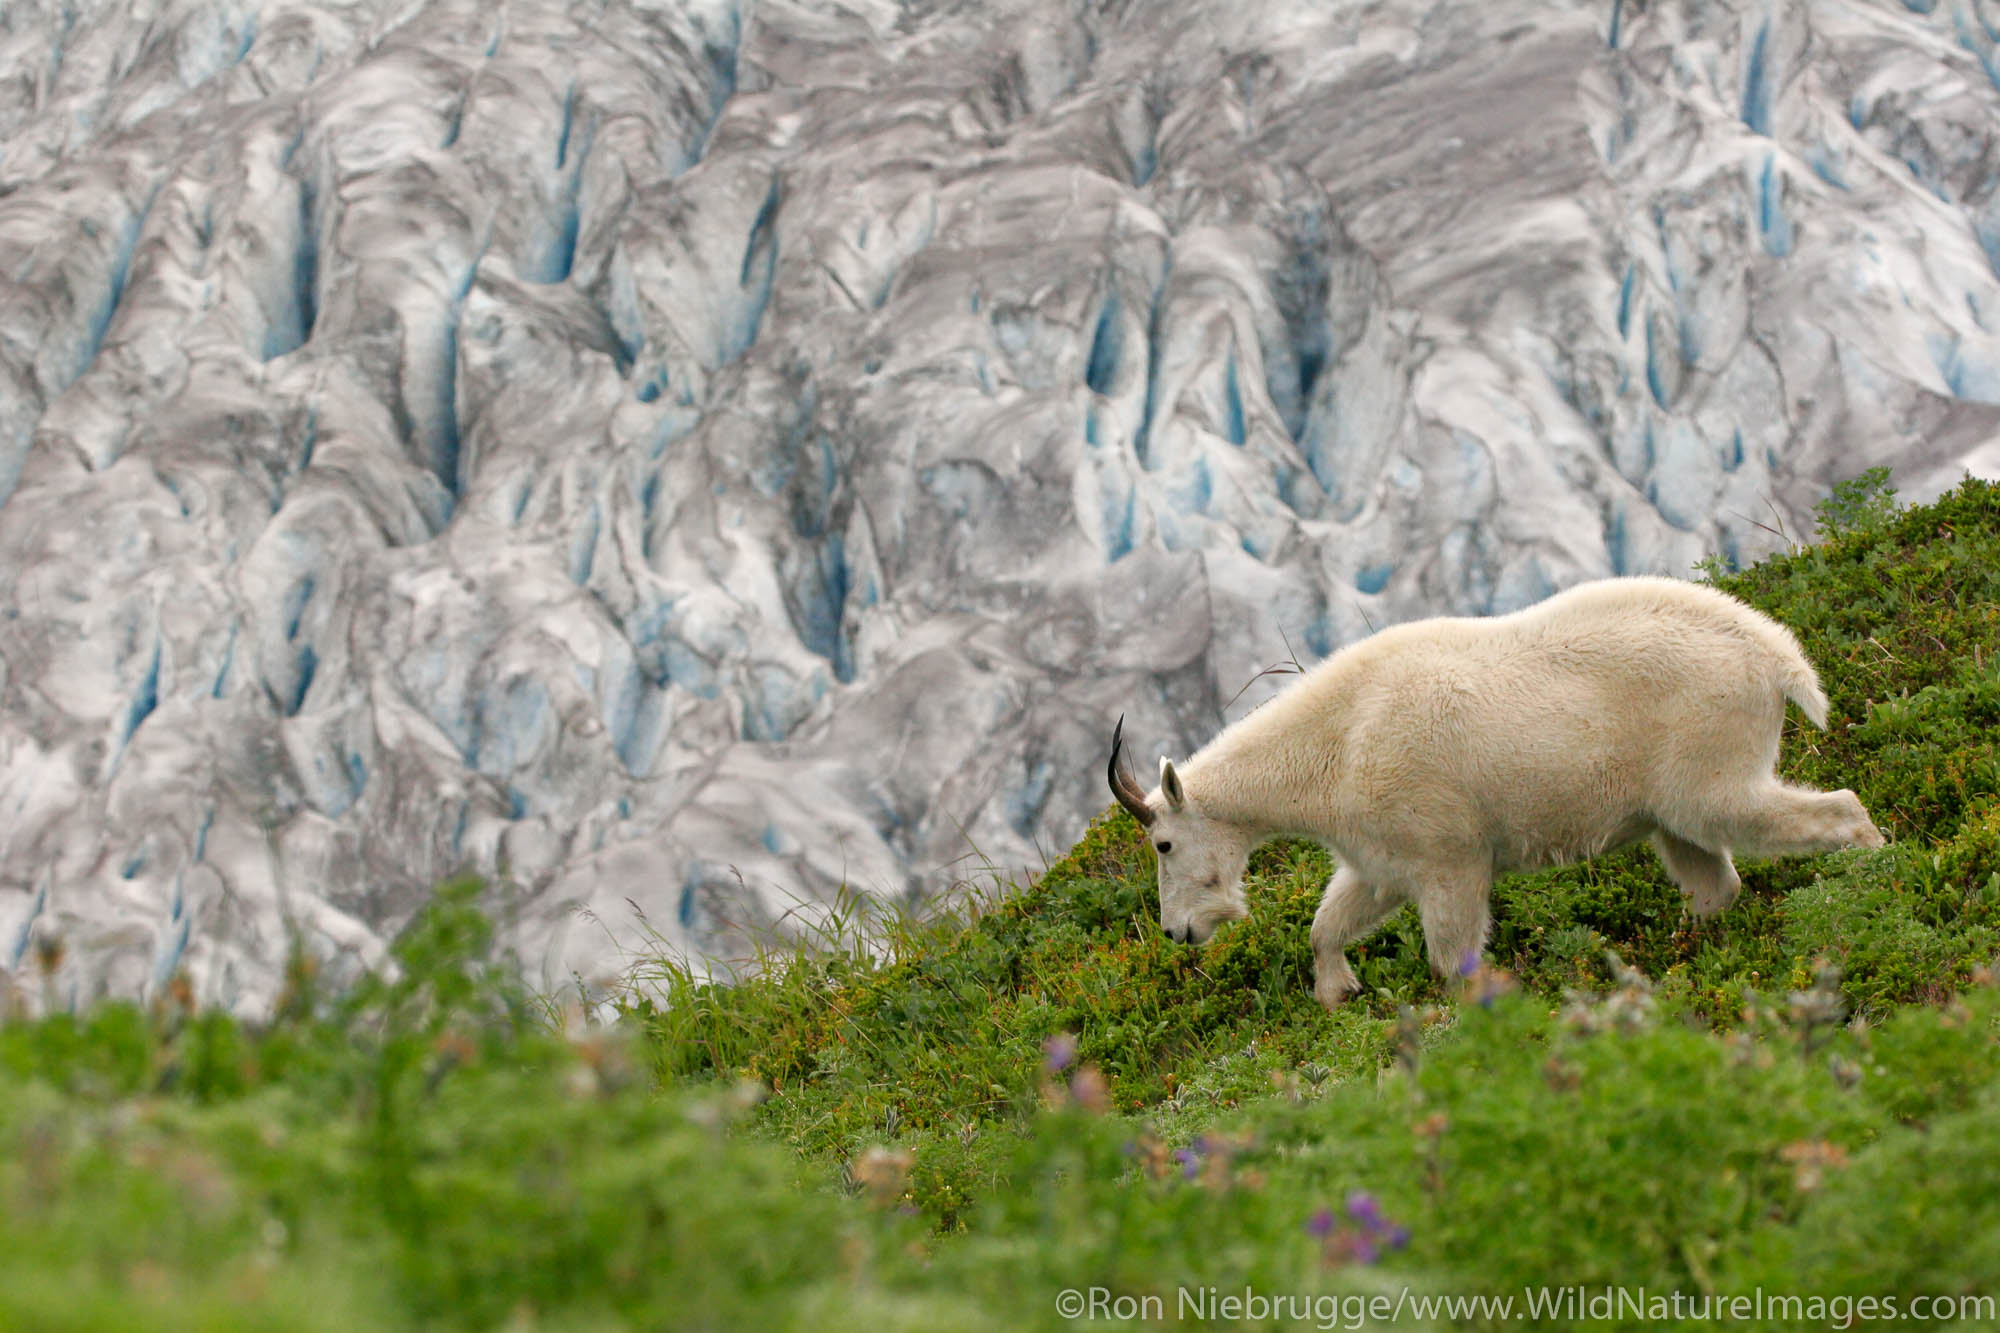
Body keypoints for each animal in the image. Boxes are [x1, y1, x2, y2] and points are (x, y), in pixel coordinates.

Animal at [1112, 572, 1888, 1008]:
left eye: (1163, 842)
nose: (1179, 931)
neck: (1335, 744)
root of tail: (1777, 655)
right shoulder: (1383, 854)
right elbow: (1330, 920)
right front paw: (1337, 990)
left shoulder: (1446, 849)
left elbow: (1450, 948)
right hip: (1673, 798)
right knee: (1709, 875)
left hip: (1711, 758)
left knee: (1814, 811)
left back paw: (1872, 874)